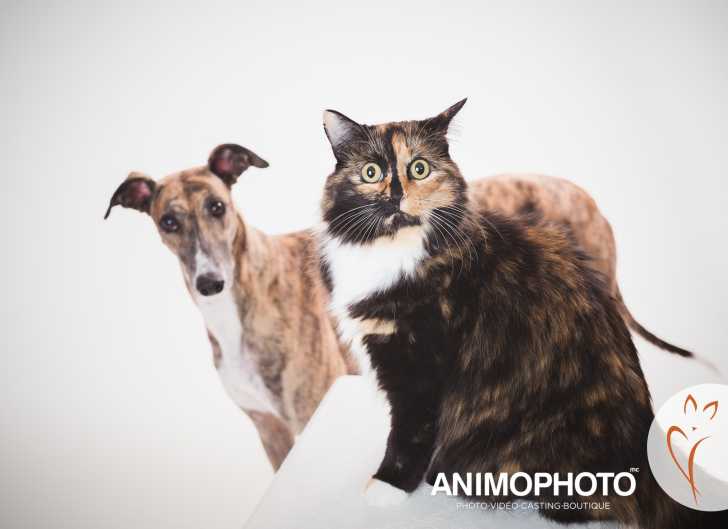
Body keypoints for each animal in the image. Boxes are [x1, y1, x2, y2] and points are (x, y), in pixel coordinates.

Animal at [317, 100, 726, 528]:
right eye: (371, 172)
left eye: (419, 168)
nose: (395, 196)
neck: (394, 250)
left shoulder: (420, 367)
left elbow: (409, 432)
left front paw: (388, 486)